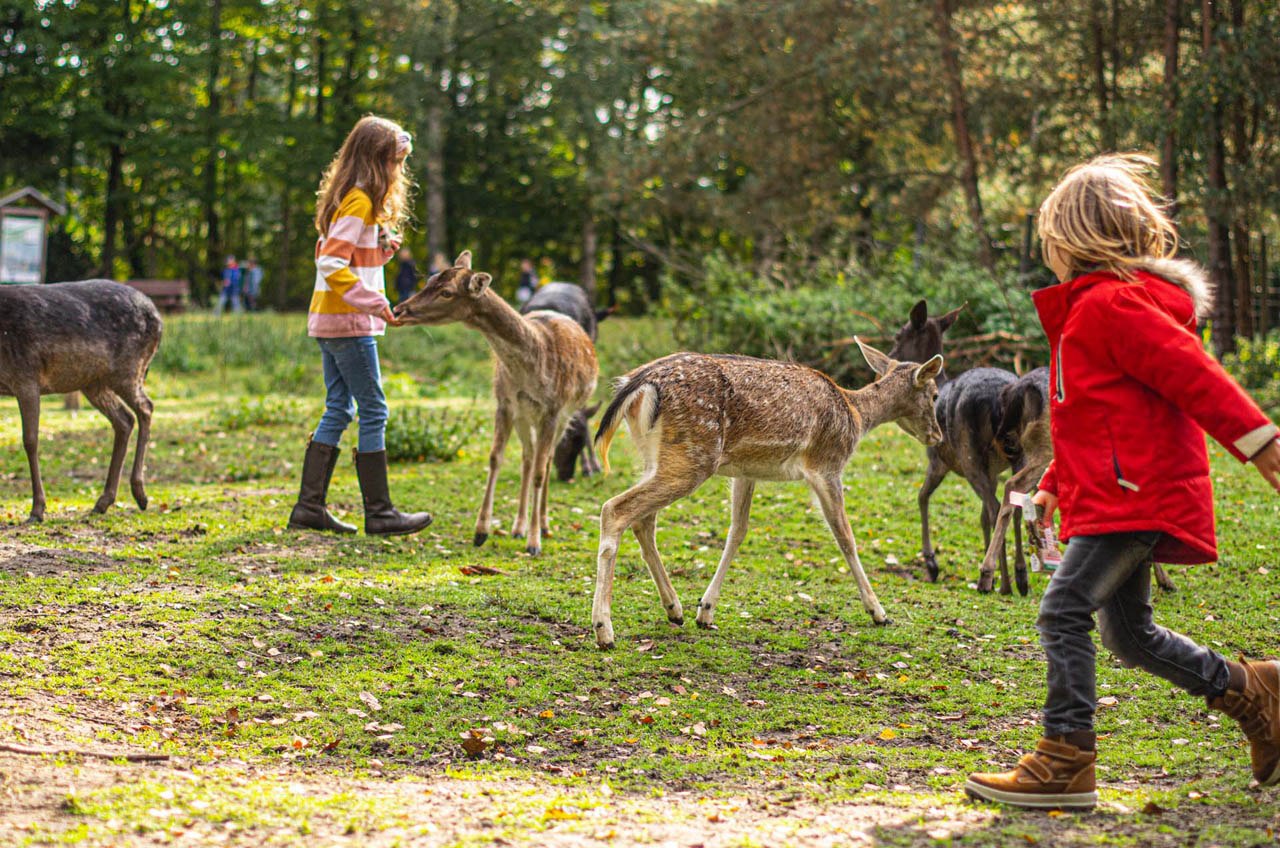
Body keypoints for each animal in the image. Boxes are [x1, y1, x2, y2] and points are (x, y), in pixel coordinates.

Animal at [0, 281, 162, 525]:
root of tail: (158, 317)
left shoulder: (26, 376)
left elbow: (30, 440)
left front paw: (37, 510)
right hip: (93, 382)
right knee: (124, 419)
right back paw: (103, 502)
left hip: (129, 369)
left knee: (146, 408)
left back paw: (140, 494)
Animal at [391, 252, 596, 558]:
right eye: (429, 279)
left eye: (446, 292)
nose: (399, 309)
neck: (530, 366)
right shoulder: (505, 403)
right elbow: (495, 458)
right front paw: (481, 531)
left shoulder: (552, 409)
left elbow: (540, 471)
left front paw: (534, 543)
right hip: (525, 416)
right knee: (527, 457)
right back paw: (518, 526)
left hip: (565, 414)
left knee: (545, 460)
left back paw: (544, 526)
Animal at [586, 340, 942, 650]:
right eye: (936, 394)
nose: (937, 436)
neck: (855, 415)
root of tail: (638, 383)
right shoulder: (826, 466)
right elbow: (845, 538)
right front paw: (879, 612)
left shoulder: (746, 472)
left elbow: (738, 531)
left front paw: (706, 610)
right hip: (693, 456)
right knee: (615, 510)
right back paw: (604, 630)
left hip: (656, 456)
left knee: (643, 521)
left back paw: (674, 608)